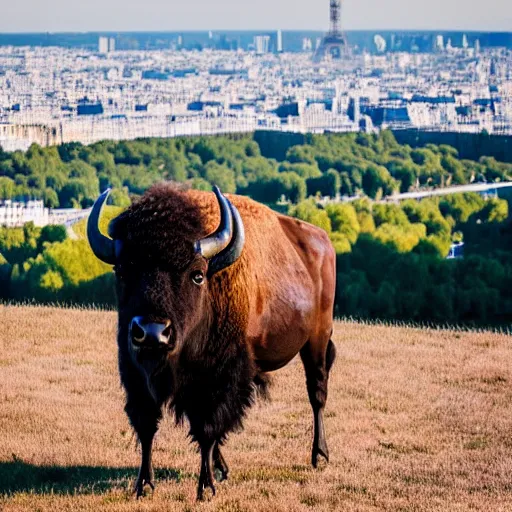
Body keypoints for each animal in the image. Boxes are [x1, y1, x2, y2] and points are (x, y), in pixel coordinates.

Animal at [88, 184, 336, 500]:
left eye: (197, 275)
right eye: (121, 271)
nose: (152, 332)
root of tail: (322, 241)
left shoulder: (216, 379)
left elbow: (207, 428)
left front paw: (205, 488)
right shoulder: (136, 374)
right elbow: (146, 425)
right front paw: (144, 485)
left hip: (317, 339)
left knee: (317, 393)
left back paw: (320, 456)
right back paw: (223, 466)